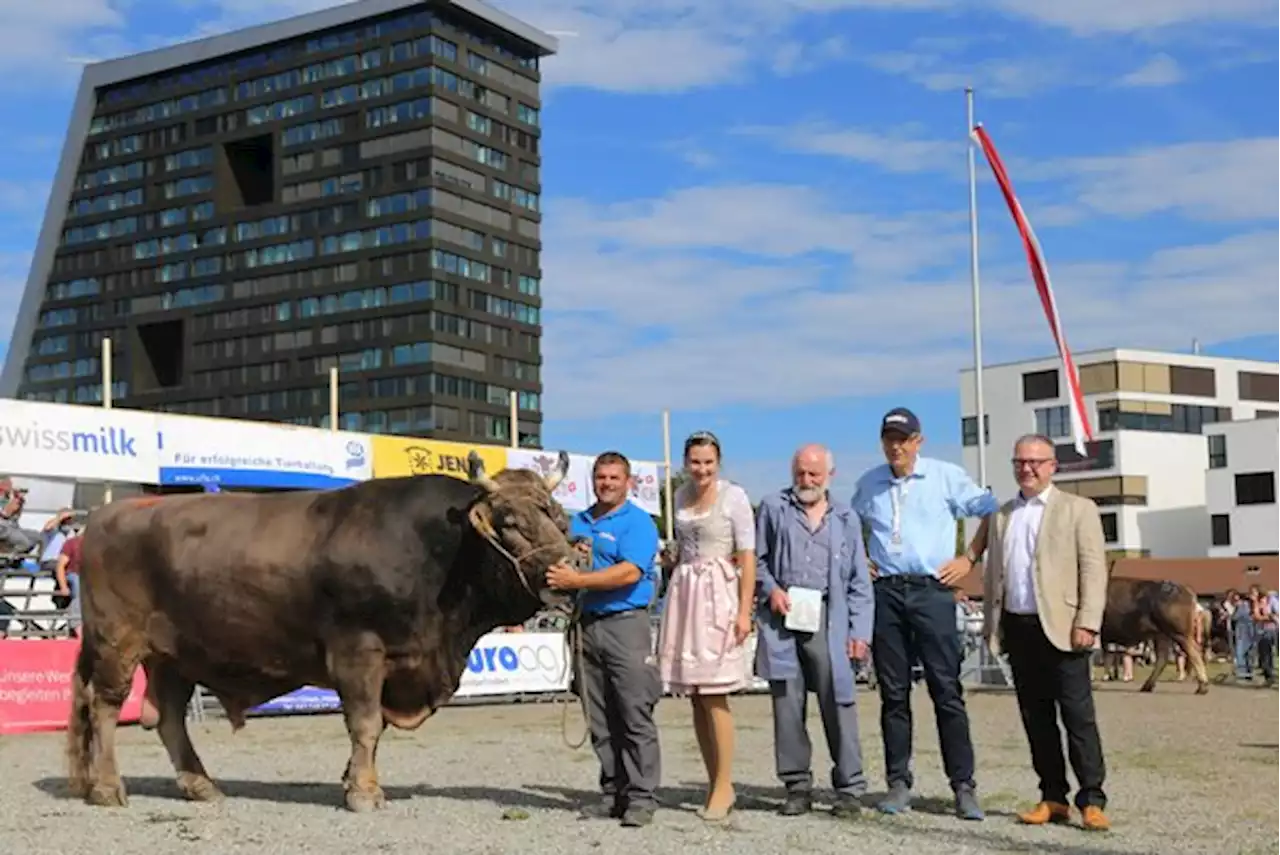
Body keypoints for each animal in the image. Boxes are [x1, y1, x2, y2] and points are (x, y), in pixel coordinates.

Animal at [64, 450, 576, 814]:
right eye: (509, 522)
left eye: (556, 515)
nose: (567, 567)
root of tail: (110, 514)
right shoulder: (359, 651)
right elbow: (365, 723)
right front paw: (365, 792)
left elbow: (374, 728)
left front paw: (352, 780)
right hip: (117, 642)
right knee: (104, 706)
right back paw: (108, 788)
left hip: (174, 654)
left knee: (167, 716)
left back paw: (200, 785)